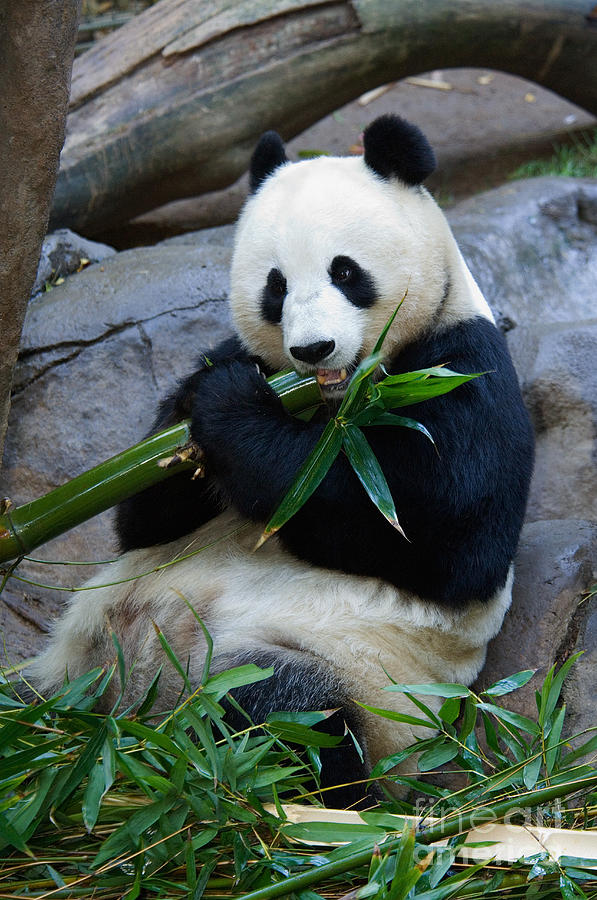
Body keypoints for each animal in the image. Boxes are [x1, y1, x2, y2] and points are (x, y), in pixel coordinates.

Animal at [32, 114, 532, 808]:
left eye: (346, 272)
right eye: (275, 286)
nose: (312, 349)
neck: (333, 404)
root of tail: (131, 703)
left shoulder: (460, 371)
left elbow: (433, 534)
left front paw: (229, 409)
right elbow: (143, 523)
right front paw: (194, 403)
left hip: (332, 673)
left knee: (282, 716)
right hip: (71, 666)